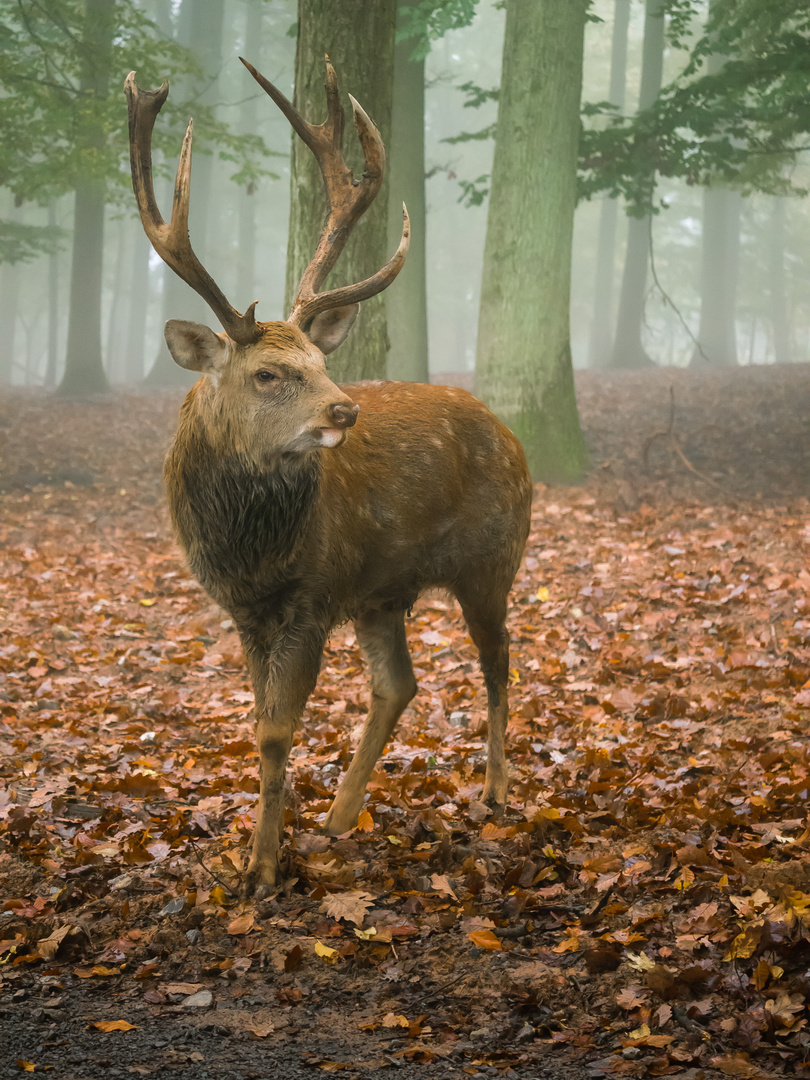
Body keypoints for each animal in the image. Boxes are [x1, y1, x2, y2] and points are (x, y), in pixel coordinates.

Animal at [123, 54, 535, 898]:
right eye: (270, 373)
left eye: (320, 359)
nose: (344, 407)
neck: (253, 551)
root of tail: (513, 438)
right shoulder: (246, 611)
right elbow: (259, 724)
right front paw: (260, 851)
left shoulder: (312, 596)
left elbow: (278, 731)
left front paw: (260, 869)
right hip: (382, 589)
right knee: (399, 682)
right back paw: (342, 816)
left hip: (492, 557)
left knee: (498, 657)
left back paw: (494, 790)